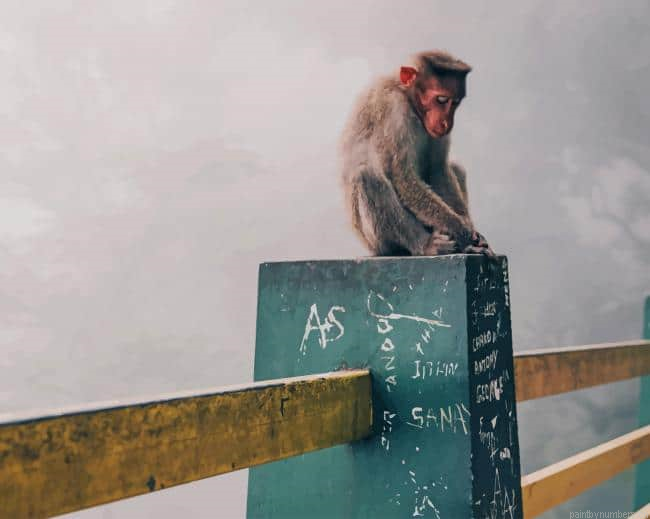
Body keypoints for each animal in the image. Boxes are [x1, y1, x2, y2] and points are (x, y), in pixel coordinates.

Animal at [340, 50, 494, 257]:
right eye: (441, 100)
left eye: (455, 102)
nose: (447, 122)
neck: (407, 97)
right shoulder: (394, 110)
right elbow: (403, 177)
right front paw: (464, 234)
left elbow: (438, 169)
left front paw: (469, 232)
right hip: (375, 241)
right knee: (366, 175)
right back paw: (424, 244)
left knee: (455, 167)